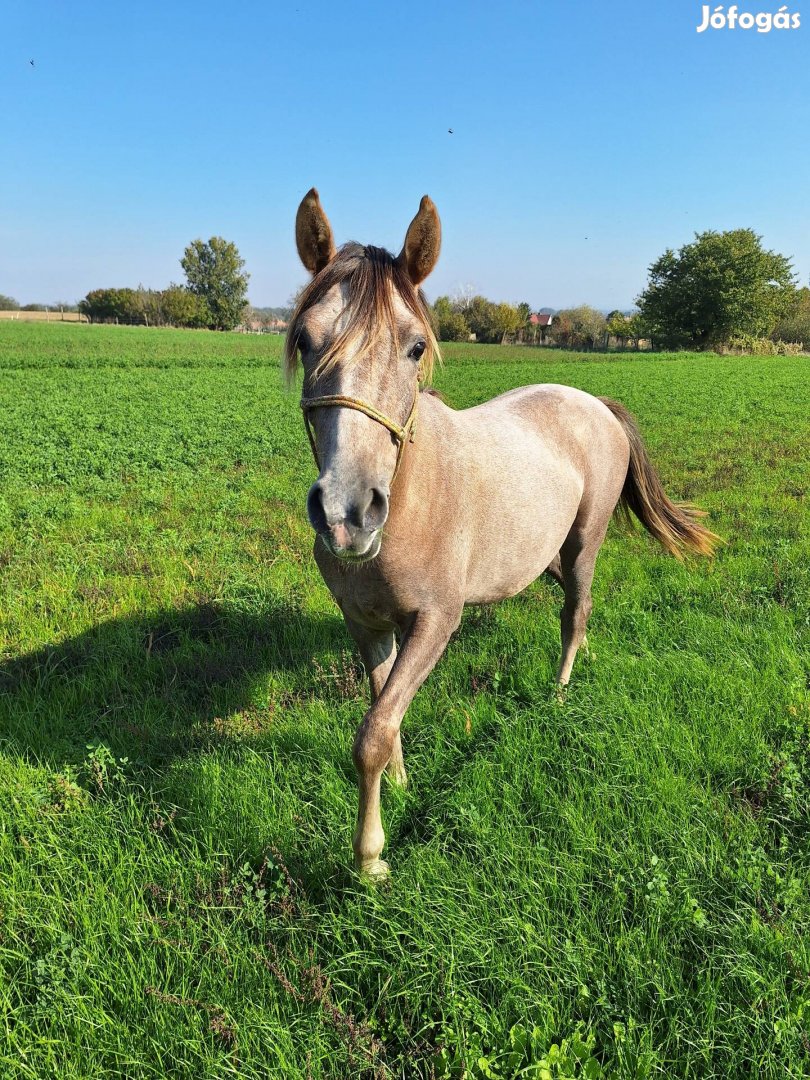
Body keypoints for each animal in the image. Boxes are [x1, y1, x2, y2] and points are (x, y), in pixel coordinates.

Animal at [282, 185, 717, 876]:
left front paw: (370, 857)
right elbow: (382, 713)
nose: (347, 515)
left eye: (415, 347)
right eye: (303, 338)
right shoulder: (365, 623)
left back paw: (561, 690)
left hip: (585, 540)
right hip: (543, 552)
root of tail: (596, 404)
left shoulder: (437, 621)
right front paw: (400, 784)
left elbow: (372, 733)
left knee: (575, 607)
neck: (409, 501)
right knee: (575, 605)